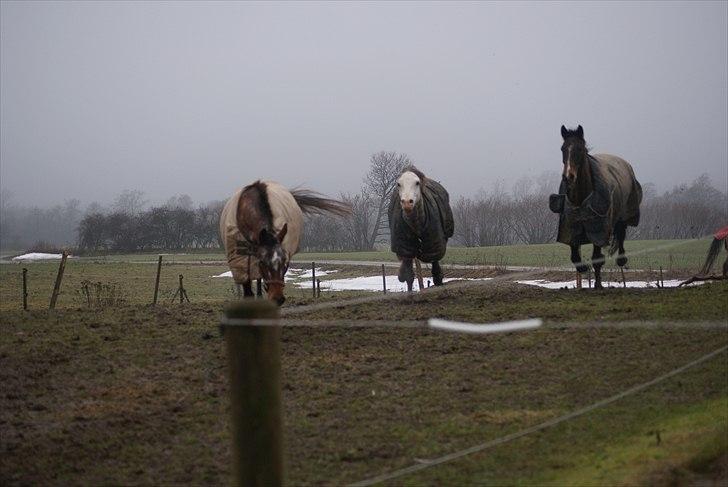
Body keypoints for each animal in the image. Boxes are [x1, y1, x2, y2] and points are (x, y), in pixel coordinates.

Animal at [552, 126, 644, 290]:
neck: (581, 200)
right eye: (563, 149)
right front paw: (584, 269)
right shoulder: (571, 226)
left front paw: (598, 284)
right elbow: (575, 257)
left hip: (622, 216)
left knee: (621, 234)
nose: (568, 177)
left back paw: (621, 260)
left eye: (580, 149)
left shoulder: (598, 228)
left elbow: (597, 258)